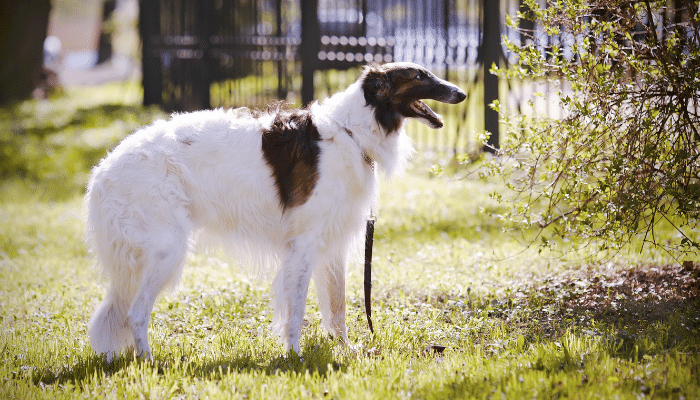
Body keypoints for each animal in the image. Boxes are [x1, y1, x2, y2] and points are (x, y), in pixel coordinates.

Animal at [85, 61, 464, 360]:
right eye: (420, 75)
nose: (460, 93)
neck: (351, 132)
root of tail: (103, 171)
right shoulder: (303, 245)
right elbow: (296, 311)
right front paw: (294, 355)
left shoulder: (332, 246)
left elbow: (337, 309)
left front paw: (344, 350)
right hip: (167, 251)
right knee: (135, 313)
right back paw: (149, 361)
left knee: (120, 313)